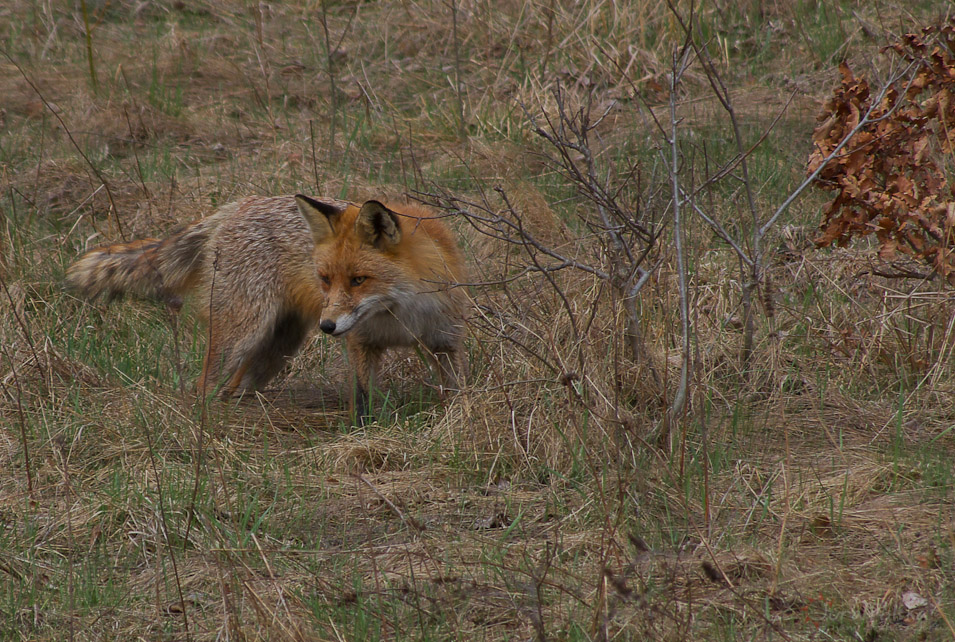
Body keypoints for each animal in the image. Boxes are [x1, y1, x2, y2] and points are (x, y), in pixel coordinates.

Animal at [65, 192, 468, 418]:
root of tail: (233, 208)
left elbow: (456, 390)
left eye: (358, 280)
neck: (397, 315)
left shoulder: (444, 340)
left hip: (275, 348)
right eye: (325, 279)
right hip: (243, 335)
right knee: (202, 387)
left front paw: (454, 416)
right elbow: (368, 399)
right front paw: (374, 428)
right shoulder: (360, 344)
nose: (327, 326)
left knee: (235, 387)